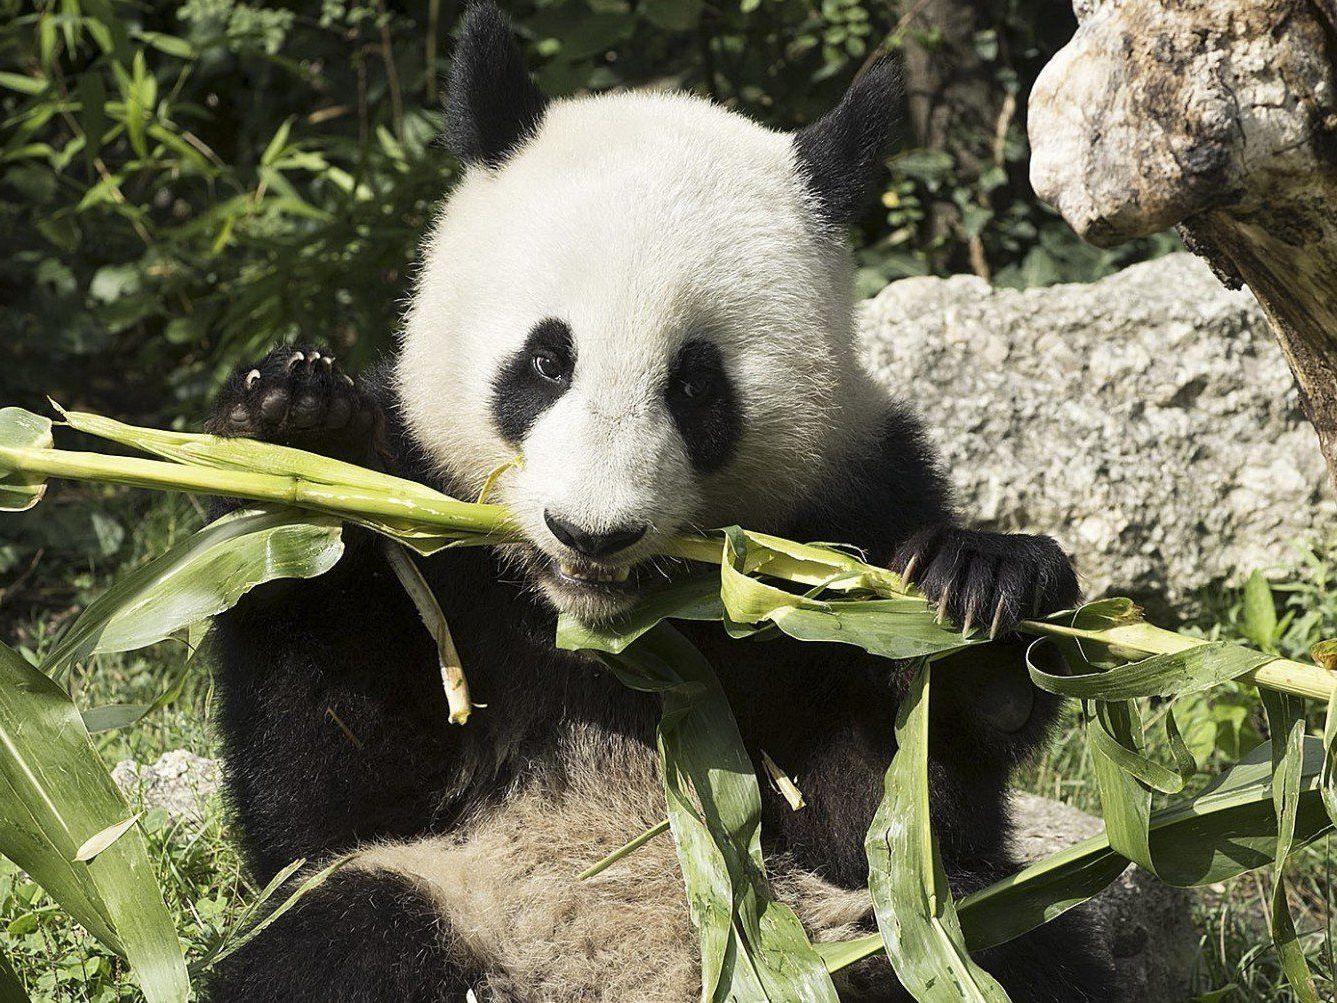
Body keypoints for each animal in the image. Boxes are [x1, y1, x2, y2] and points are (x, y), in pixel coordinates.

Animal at [203, 3, 1112, 1000]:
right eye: (546, 361)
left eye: (694, 386)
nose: (590, 533)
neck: (600, 630)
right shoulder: (430, 512)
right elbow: (330, 799)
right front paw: (304, 437)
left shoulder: (854, 509)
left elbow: (898, 820)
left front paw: (982, 593)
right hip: (462, 900)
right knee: (344, 937)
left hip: (856, 937)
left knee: (994, 940)